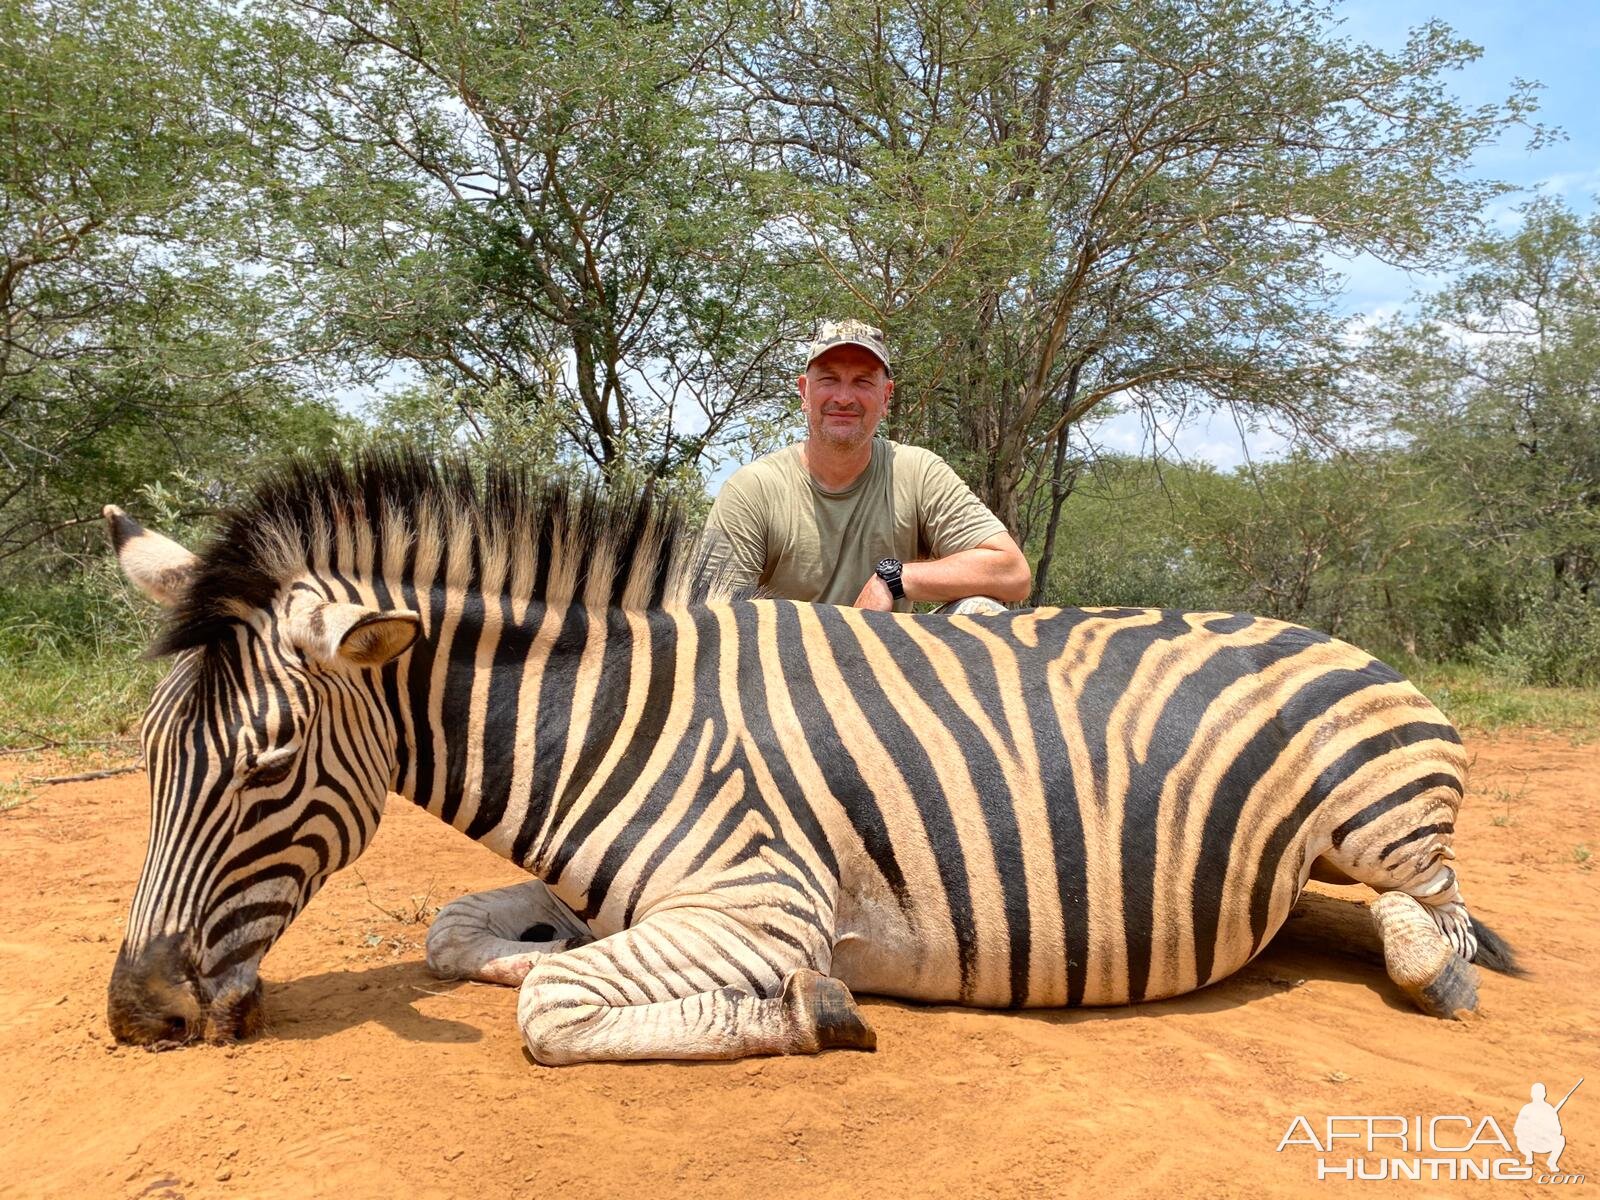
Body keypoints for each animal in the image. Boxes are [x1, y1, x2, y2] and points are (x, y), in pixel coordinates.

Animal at [106, 454, 1516, 1068]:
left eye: (271, 763)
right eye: (151, 757)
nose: (139, 1013)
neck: (624, 722)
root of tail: (1339, 638)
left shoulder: (759, 900)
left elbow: (550, 1007)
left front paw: (808, 1006)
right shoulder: (609, 894)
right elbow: (471, 938)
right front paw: (531, 948)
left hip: (1380, 813)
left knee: (1427, 916)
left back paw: (1437, 968)